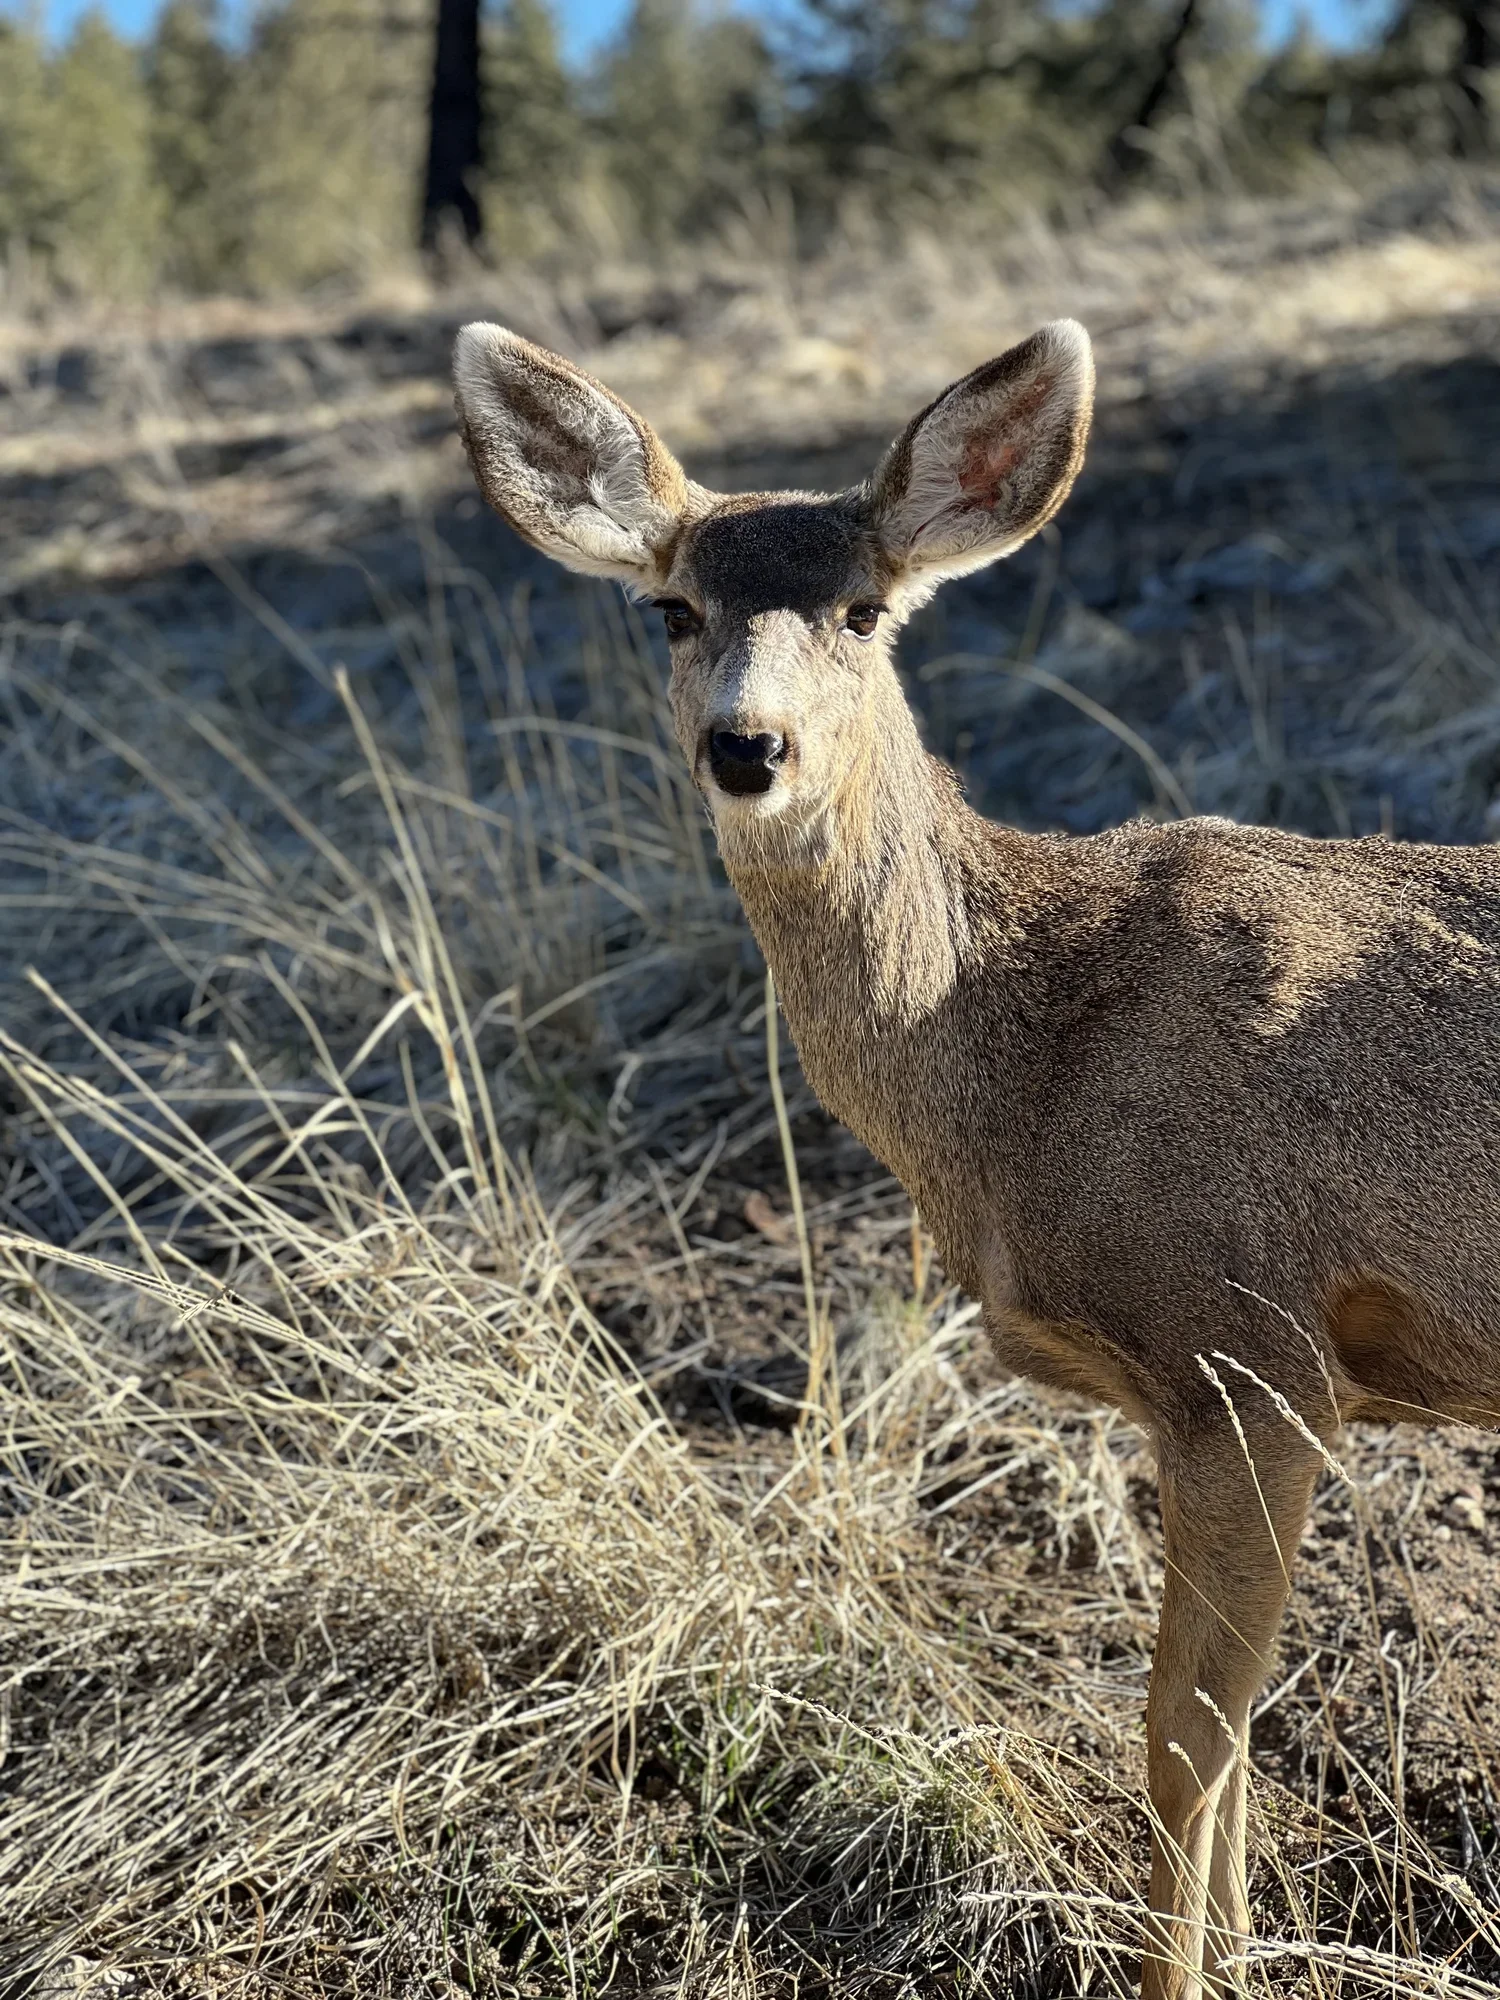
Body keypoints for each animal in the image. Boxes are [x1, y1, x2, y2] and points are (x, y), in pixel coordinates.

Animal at [451, 317, 1500, 1999]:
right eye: (671, 607)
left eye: (864, 609)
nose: (747, 746)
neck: (1022, 1062)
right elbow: (1222, 1742)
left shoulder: (1249, 1348)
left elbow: (1182, 1742)